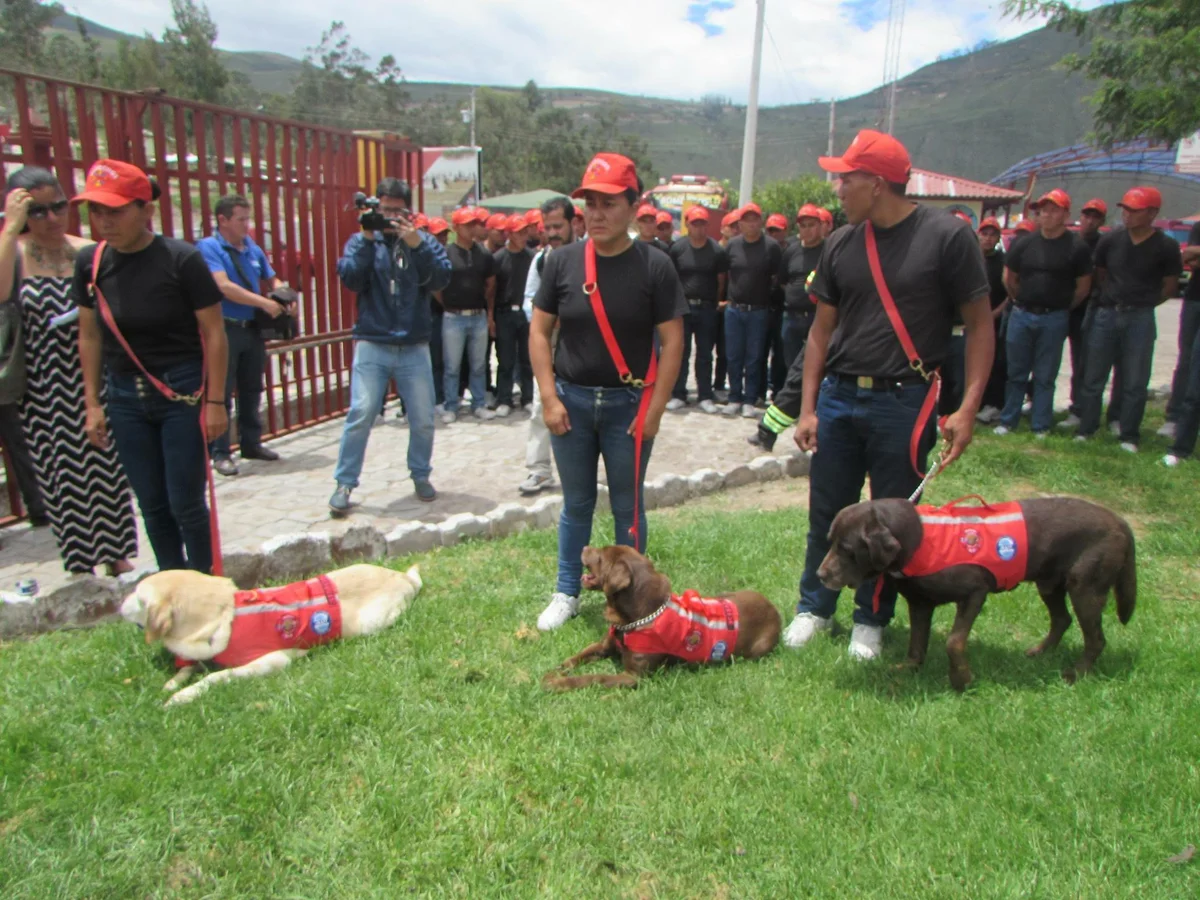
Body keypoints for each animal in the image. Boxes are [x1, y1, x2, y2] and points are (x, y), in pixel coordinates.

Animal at [120, 566, 422, 710]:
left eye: (137, 595)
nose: (118, 606)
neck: (224, 612)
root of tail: (403, 576)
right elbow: (190, 666)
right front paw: (172, 684)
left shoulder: (273, 660)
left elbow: (217, 676)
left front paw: (183, 695)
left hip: (369, 624)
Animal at [542, 547, 782, 696]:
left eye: (600, 555)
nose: (583, 546)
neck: (634, 619)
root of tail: (774, 610)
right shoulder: (604, 645)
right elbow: (578, 656)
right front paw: (557, 671)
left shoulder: (633, 677)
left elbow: (595, 678)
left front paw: (559, 684)